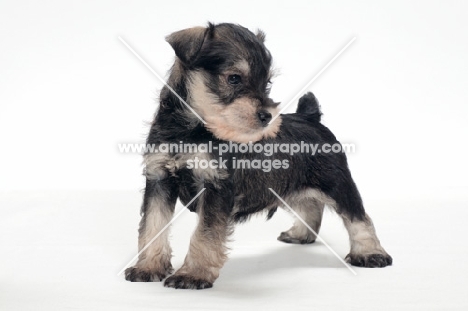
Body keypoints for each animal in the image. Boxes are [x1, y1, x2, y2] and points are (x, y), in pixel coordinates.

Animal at [124, 23, 392, 292]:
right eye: (234, 78)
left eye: (267, 81)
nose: (267, 115)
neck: (190, 129)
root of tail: (311, 117)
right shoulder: (159, 179)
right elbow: (152, 225)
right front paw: (148, 267)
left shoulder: (215, 187)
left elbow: (205, 234)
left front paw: (193, 274)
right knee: (311, 205)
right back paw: (300, 234)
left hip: (337, 183)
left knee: (358, 216)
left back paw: (370, 253)